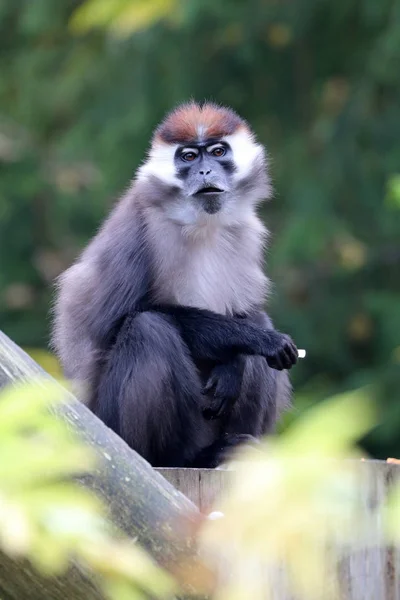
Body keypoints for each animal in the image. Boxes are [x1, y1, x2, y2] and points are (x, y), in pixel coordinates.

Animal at [51, 102, 298, 468]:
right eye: (189, 157)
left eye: (218, 152)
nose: (205, 172)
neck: (201, 224)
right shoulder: (140, 227)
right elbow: (111, 326)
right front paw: (250, 340)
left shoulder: (248, 231)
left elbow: (249, 312)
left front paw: (235, 363)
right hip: (111, 427)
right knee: (148, 328)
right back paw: (187, 456)